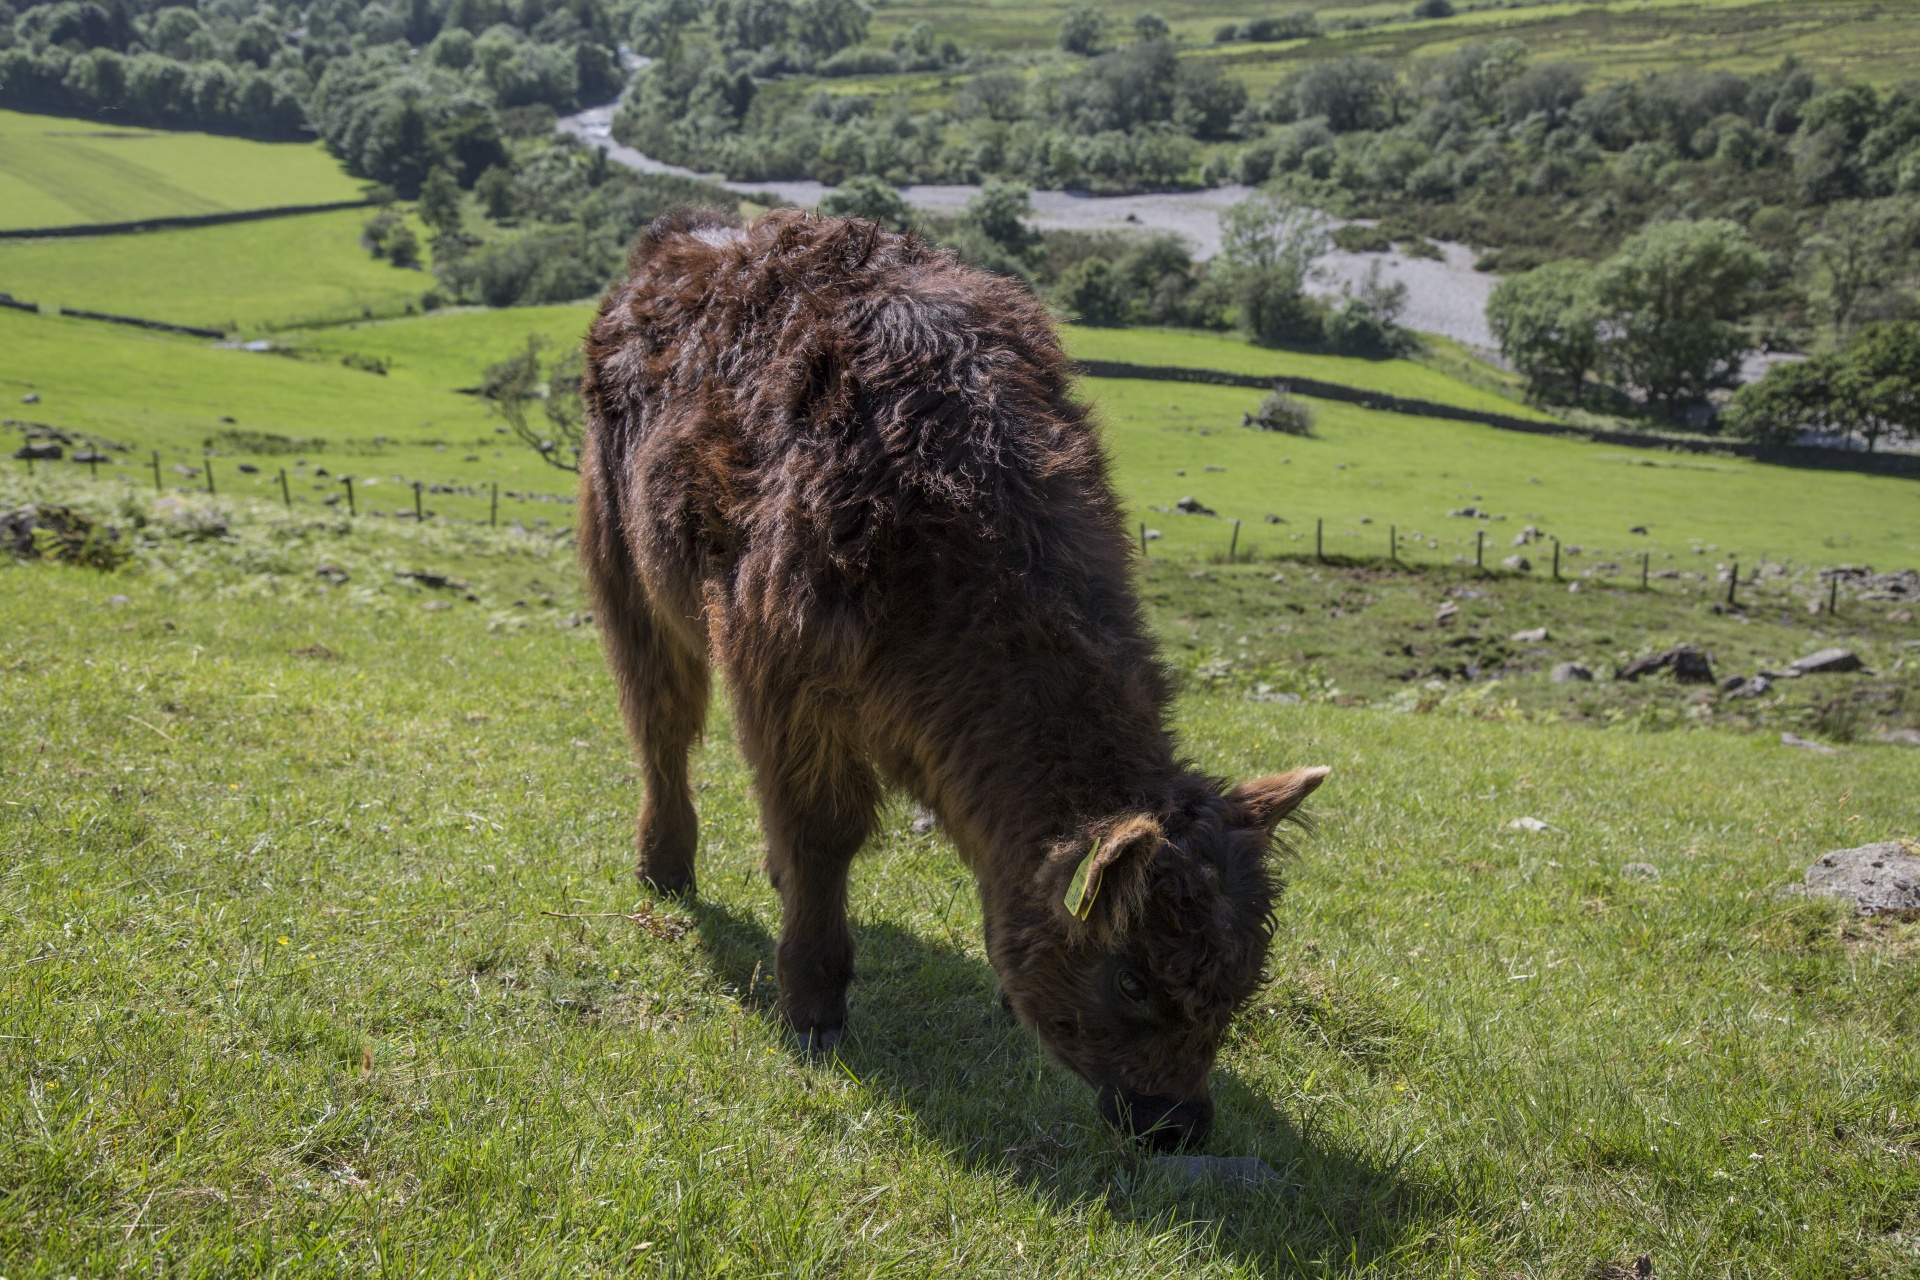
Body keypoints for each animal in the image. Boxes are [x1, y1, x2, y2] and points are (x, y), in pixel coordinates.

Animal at [576, 210, 1328, 1151]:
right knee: (661, 721)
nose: (1179, 1125)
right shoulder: (782, 673)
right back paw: (665, 862)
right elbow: (822, 833)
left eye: (1241, 982)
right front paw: (812, 1002)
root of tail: (692, 233)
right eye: (1130, 979)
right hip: (626, 559)